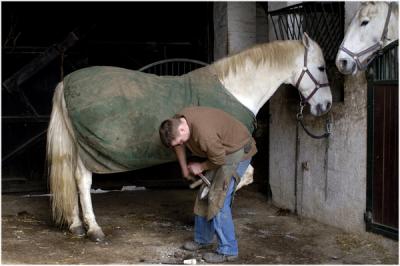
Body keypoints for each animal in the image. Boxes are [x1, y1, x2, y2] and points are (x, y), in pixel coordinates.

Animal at [47, 32, 332, 241]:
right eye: (320, 67)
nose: (326, 106)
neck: (236, 89)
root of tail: (65, 82)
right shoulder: (230, 150)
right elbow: (242, 176)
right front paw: (210, 200)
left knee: (70, 178)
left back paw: (76, 224)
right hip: (89, 149)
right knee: (82, 180)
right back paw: (94, 228)